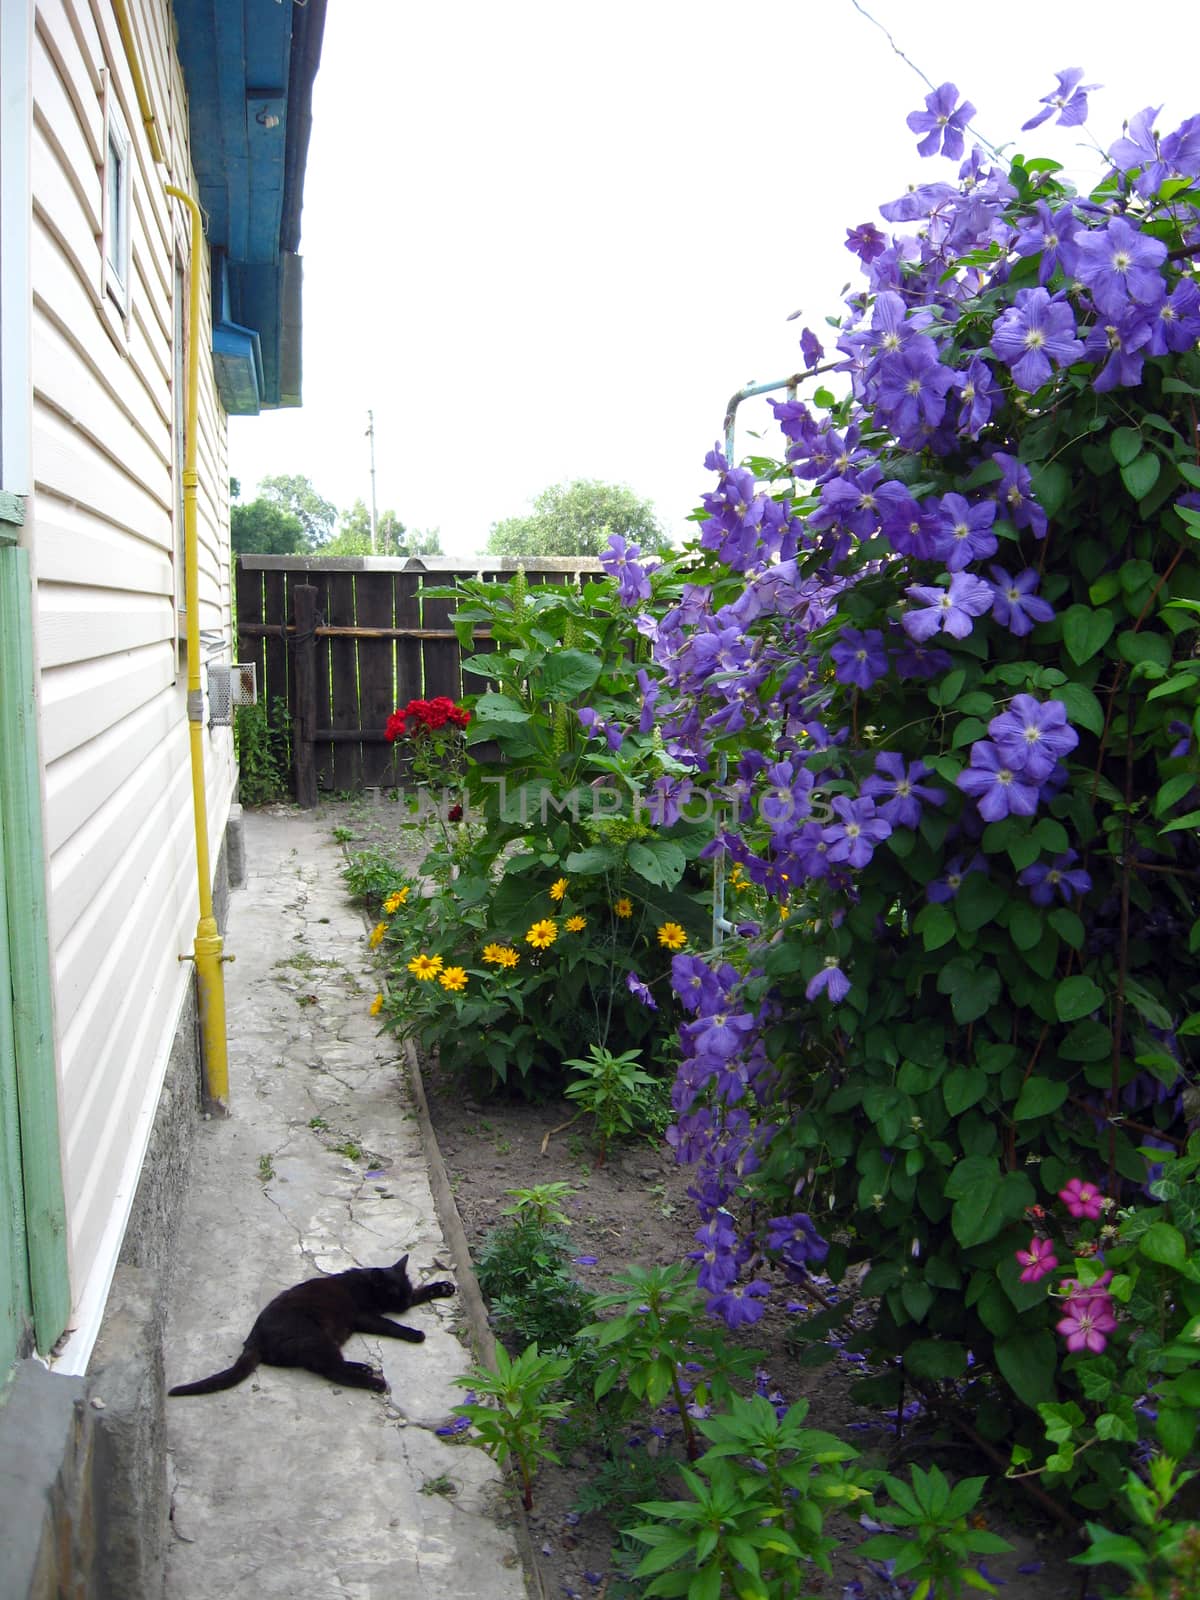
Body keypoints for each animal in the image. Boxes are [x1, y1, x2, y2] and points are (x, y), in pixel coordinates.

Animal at [167, 1254, 454, 1395]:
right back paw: (374, 1382)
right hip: (315, 1337)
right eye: (394, 1293)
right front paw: (414, 1333)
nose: (403, 1302)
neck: (364, 1284)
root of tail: (253, 1339)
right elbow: (390, 1325)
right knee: (333, 1371)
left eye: (405, 1288)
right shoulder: (365, 1316)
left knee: (329, 1365)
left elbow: (420, 1293)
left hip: (321, 1343)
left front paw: (442, 1287)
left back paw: (364, 1368)